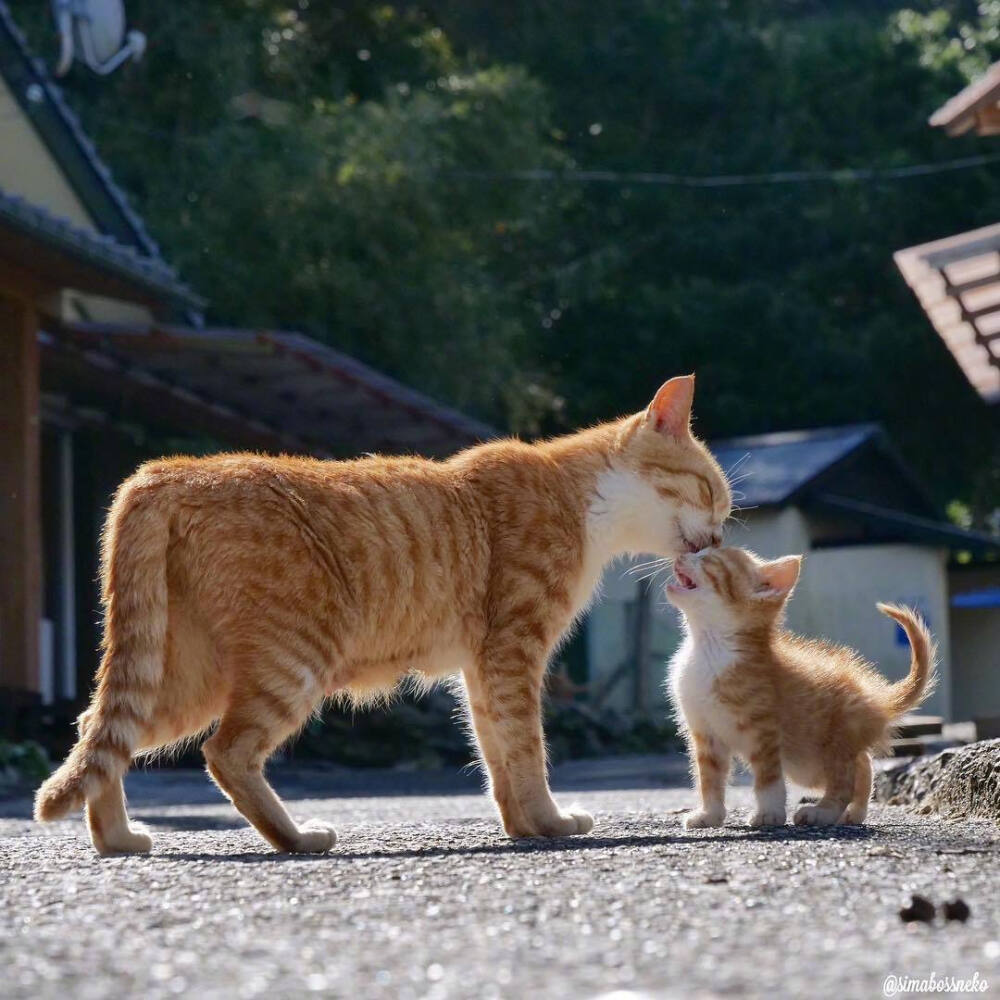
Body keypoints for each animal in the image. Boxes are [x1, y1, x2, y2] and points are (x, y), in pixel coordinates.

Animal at [35, 372, 732, 856]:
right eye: (710, 493)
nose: (722, 537)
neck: (580, 498)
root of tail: (165, 472)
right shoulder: (514, 652)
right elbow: (526, 747)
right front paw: (552, 822)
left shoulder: (484, 665)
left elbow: (497, 752)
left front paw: (522, 827)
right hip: (292, 662)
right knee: (224, 752)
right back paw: (297, 839)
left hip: (186, 673)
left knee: (99, 732)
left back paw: (118, 840)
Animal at [664, 548, 936, 828]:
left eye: (708, 558)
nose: (682, 554)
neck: (710, 647)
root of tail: (876, 698)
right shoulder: (705, 732)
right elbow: (710, 778)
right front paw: (710, 814)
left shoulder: (765, 730)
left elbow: (768, 777)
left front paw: (769, 813)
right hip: (809, 763)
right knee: (863, 764)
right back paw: (855, 812)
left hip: (831, 744)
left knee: (845, 779)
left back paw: (823, 811)